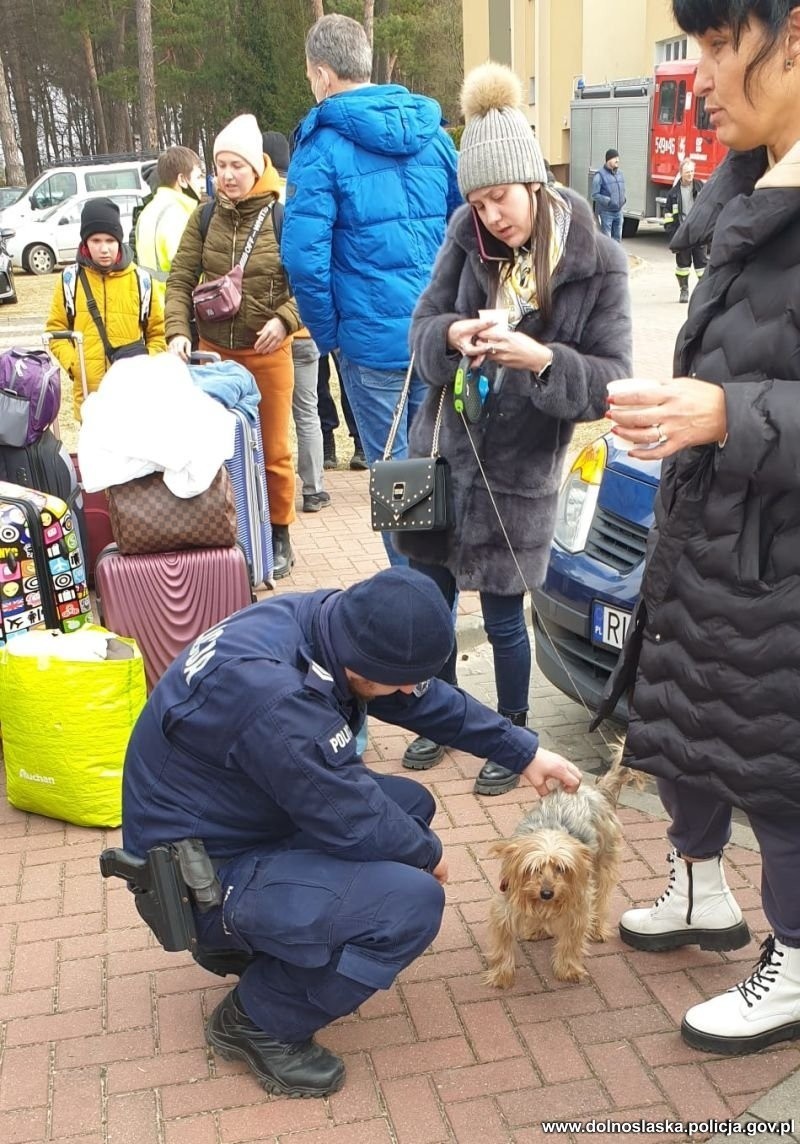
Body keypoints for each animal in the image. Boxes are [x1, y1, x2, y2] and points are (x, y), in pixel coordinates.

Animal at [482, 759, 631, 983]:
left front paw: (567, 968)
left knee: (602, 897)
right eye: (532, 869)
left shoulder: (577, 906)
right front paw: (501, 975)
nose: (546, 893)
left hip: (604, 862)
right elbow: (502, 943)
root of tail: (595, 789)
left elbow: (571, 941)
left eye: (562, 868)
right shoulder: (506, 906)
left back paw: (596, 927)